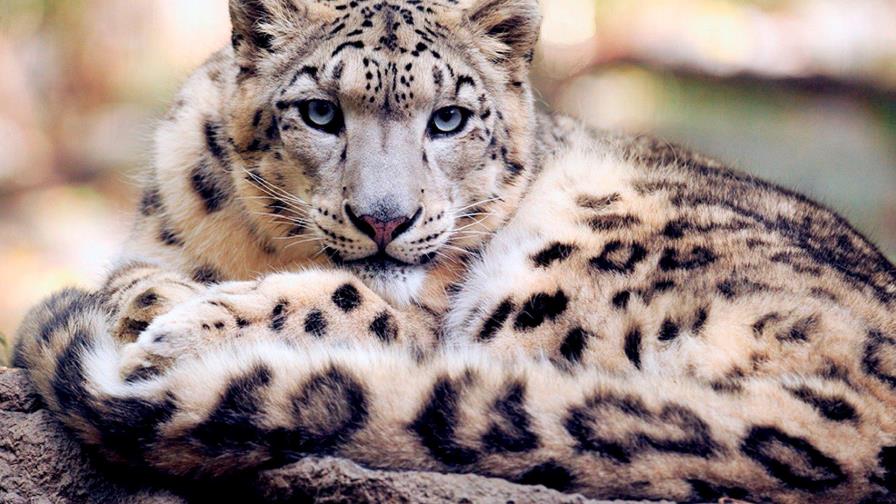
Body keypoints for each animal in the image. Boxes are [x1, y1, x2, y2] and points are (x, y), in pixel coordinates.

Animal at [12, 0, 896, 502]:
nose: (384, 219)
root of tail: (866, 426)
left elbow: (346, 300)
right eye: (319, 111)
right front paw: (156, 302)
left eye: (450, 119)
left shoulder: (423, 311)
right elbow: (134, 276)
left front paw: (181, 327)